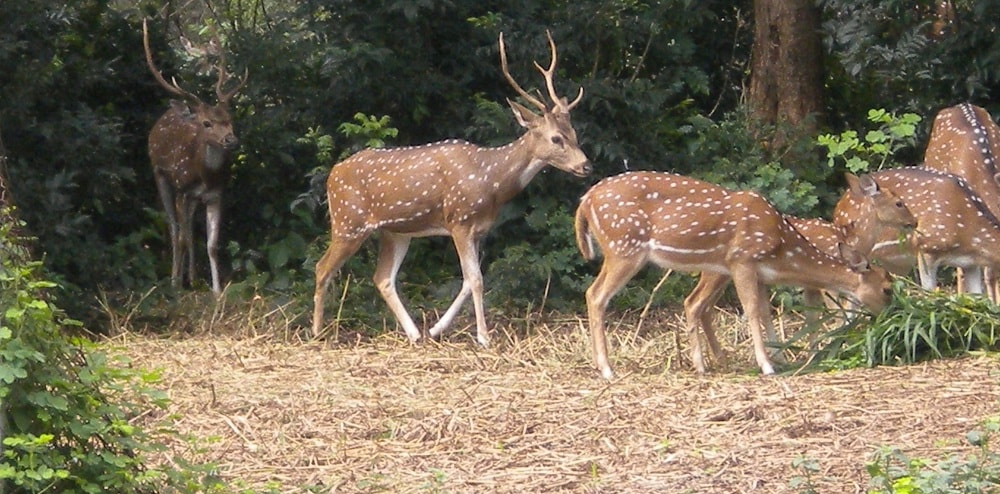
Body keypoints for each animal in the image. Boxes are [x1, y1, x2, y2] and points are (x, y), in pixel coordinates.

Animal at [143, 19, 246, 296]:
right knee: (175, 227)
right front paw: (175, 284)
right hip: (160, 175)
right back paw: (177, 278)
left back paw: (192, 276)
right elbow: (180, 236)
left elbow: (212, 243)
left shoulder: (217, 194)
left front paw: (217, 291)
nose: (231, 140)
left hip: (192, 198)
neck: (205, 175)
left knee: (189, 229)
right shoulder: (182, 189)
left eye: (230, 119)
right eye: (207, 123)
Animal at [312, 30, 588, 344]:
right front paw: (483, 337)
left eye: (574, 133)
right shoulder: (459, 220)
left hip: (394, 231)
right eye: (556, 138)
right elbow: (476, 280)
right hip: (348, 221)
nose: (586, 165)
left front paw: (436, 329)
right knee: (322, 267)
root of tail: (332, 175)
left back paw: (414, 333)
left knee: (382, 278)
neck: (491, 181)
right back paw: (318, 331)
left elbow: (468, 280)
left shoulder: (478, 230)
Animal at [576, 172, 896, 380]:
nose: (890, 316)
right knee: (597, 296)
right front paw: (767, 365)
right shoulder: (742, 259)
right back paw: (608, 369)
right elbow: (752, 310)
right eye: (887, 288)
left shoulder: (759, 272)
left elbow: (766, 312)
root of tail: (585, 201)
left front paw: (780, 357)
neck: (782, 246)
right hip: (624, 247)